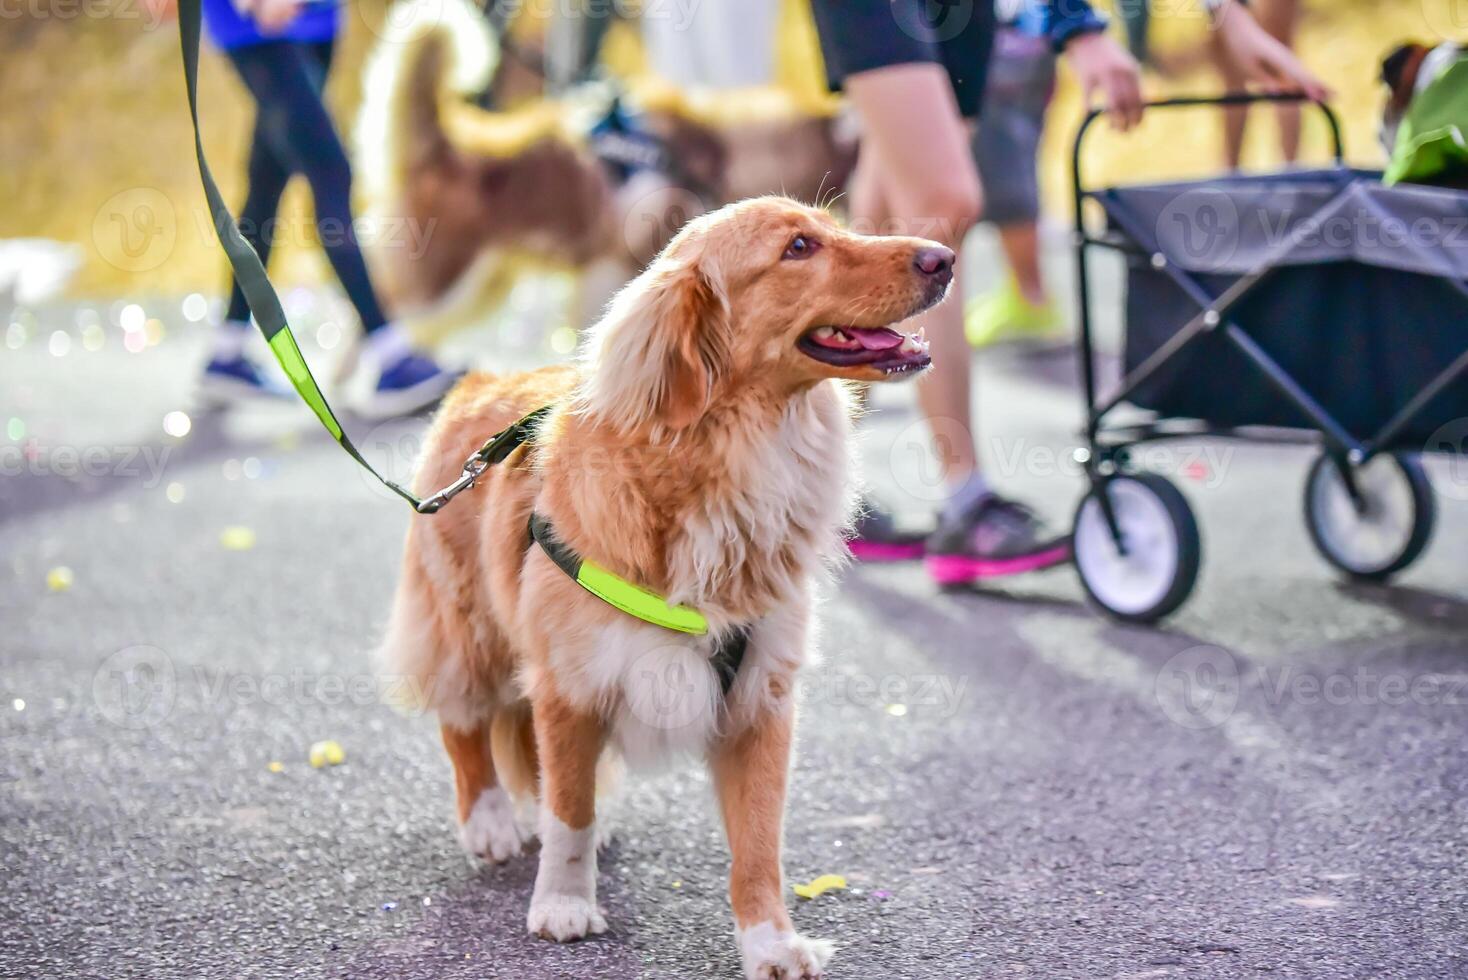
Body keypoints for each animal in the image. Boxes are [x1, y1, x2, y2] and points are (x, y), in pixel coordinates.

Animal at [378, 195, 951, 974]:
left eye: (838, 228)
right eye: (799, 248)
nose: (944, 258)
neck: (736, 457)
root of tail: (482, 382)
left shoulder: (761, 699)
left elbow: (758, 846)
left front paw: (769, 941)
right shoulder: (570, 686)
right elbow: (568, 811)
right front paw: (563, 903)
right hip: (468, 626)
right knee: (464, 720)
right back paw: (490, 819)